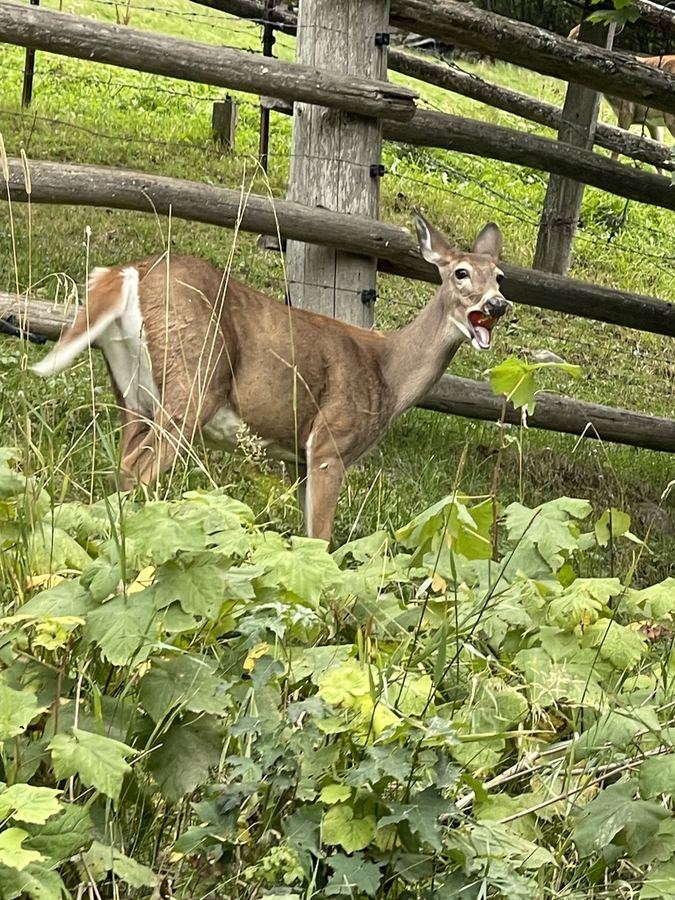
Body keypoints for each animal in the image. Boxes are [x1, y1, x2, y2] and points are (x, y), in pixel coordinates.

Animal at [30, 213, 508, 542]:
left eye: (500, 276)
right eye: (461, 272)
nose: (498, 304)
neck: (387, 375)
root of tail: (127, 272)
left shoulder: (298, 459)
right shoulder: (330, 441)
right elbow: (322, 539)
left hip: (131, 391)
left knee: (122, 464)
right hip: (194, 381)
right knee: (138, 465)